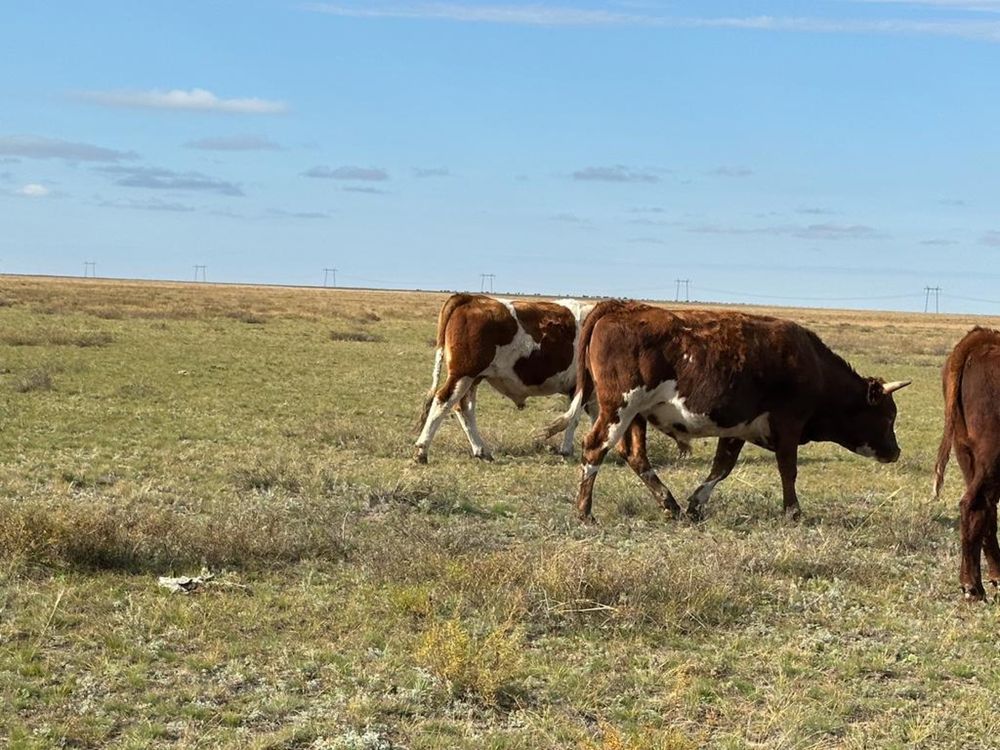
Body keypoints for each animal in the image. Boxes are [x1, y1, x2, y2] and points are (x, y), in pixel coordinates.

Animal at [414, 294, 592, 464]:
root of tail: (469, 298)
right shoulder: (585, 386)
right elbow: (575, 418)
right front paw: (567, 451)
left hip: (472, 378)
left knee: (464, 407)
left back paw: (481, 451)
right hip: (462, 374)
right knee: (443, 401)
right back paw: (422, 451)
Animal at [548, 302, 916, 524]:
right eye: (888, 416)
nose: (896, 451)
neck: (815, 367)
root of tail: (618, 306)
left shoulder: (737, 429)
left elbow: (721, 468)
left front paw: (696, 504)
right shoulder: (789, 424)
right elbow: (788, 470)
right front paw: (793, 512)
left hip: (635, 414)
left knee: (635, 455)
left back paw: (670, 505)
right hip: (619, 407)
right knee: (595, 447)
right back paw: (585, 512)